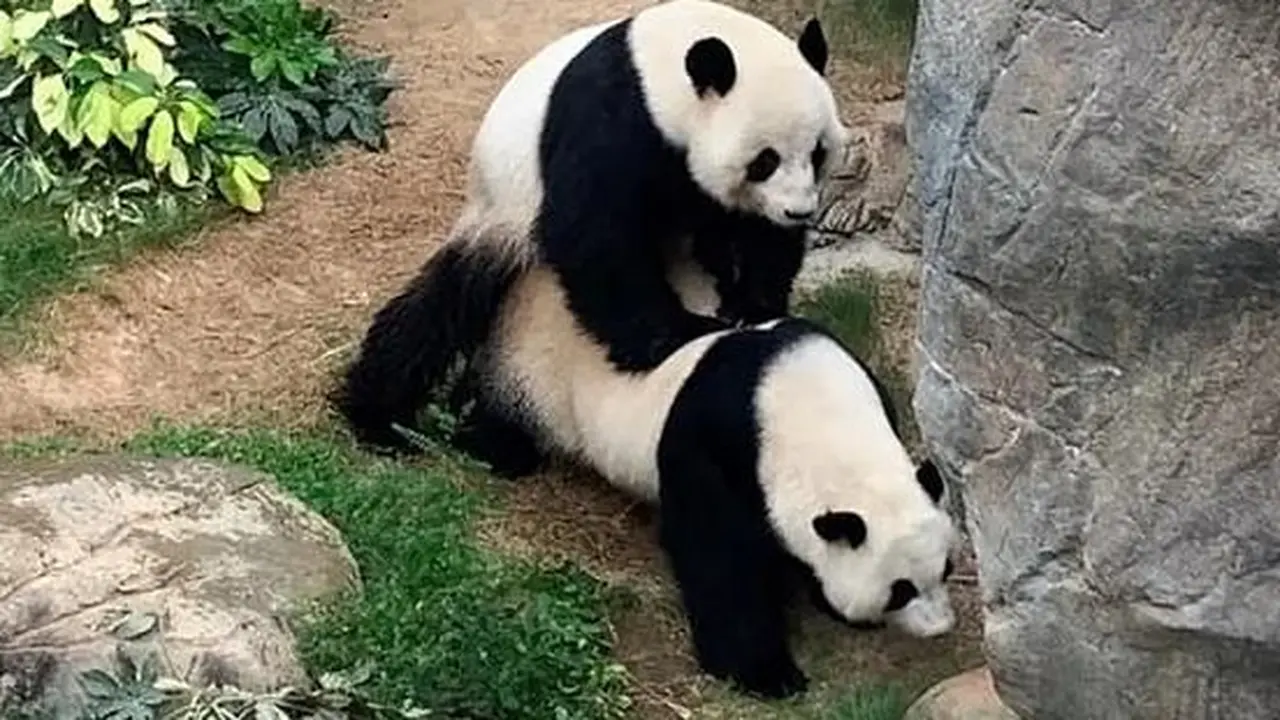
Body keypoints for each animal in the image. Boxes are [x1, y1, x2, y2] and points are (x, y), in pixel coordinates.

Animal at [332, 0, 848, 451]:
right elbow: (595, 238)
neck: (660, 72)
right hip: (500, 213)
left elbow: (755, 235)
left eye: (818, 152)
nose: (799, 211)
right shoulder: (612, 120)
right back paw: (381, 417)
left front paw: (752, 304)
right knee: (441, 308)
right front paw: (674, 334)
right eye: (765, 160)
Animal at [456, 262, 959, 699]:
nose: (941, 628)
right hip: (533, 370)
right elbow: (717, 555)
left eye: (946, 569)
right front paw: (767, 674)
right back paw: (495, 446)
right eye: (900, 591)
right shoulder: (716, 442)